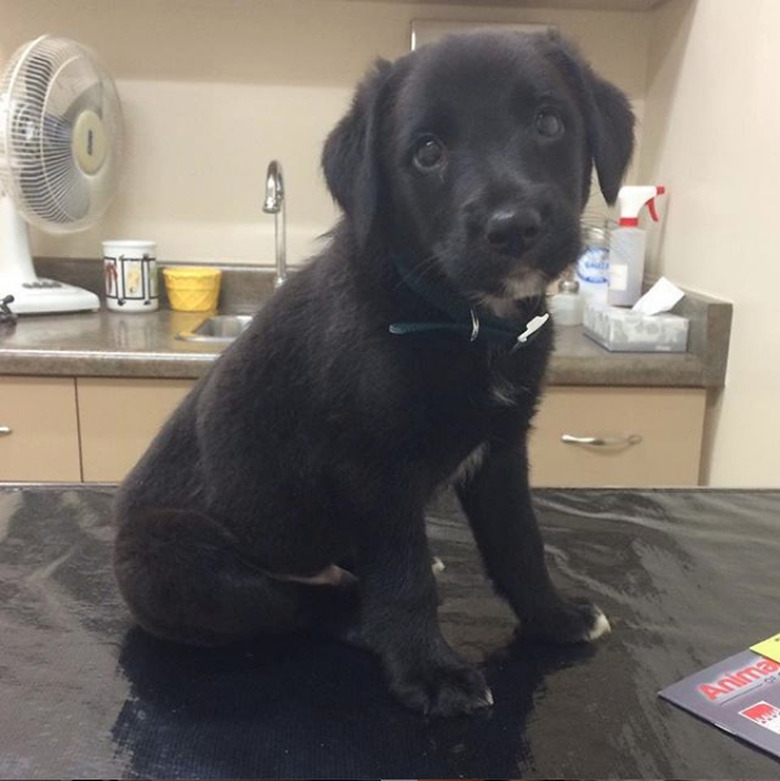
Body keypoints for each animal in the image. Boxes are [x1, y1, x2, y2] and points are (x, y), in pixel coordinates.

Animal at [114, 29, 632, 712]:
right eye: (428, 152)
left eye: (549, 123)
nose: (513, 227)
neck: (459, 319)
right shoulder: (373, 471)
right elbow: (404, 579)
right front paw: (430, 671)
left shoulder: (500, 451)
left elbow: (520, 544)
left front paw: (555, 620)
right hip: (170, 563)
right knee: (296, 603)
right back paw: (360, 617)